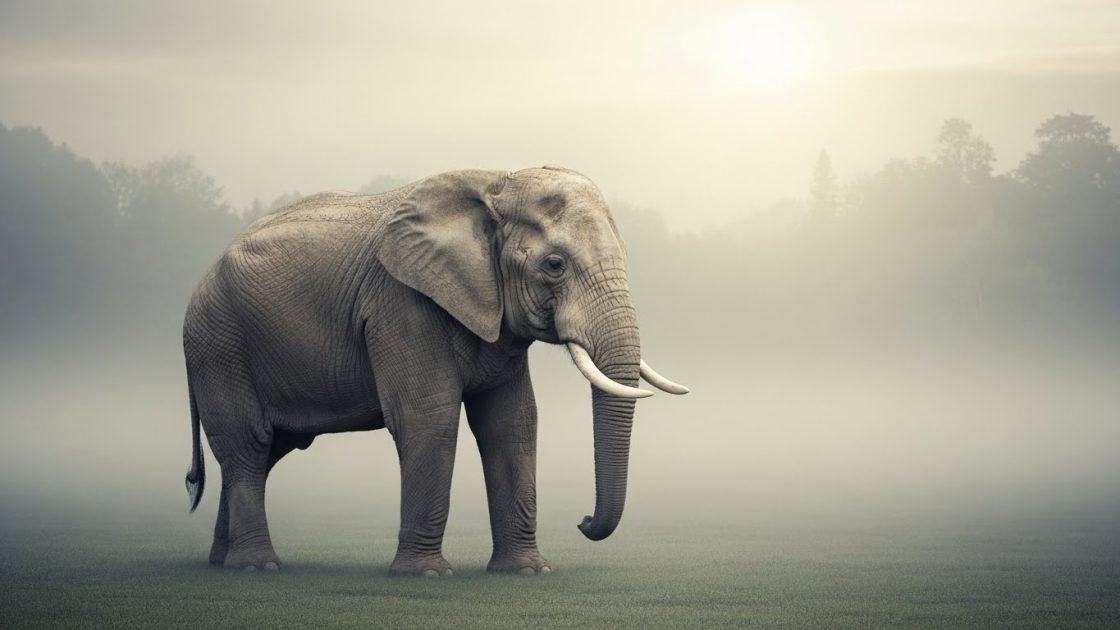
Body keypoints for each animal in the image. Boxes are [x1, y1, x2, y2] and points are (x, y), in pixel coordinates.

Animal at [182, 166, 687, 576]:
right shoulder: (400, 302)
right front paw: (425, 575)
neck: (496, 181)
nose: (583, 521)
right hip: (218, 343)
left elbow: (512, 423)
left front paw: (527, 572)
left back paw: (223, 562)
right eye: (555, 265)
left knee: (265, 451)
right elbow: (429, 417)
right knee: (248, 443)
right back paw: (257, 566)